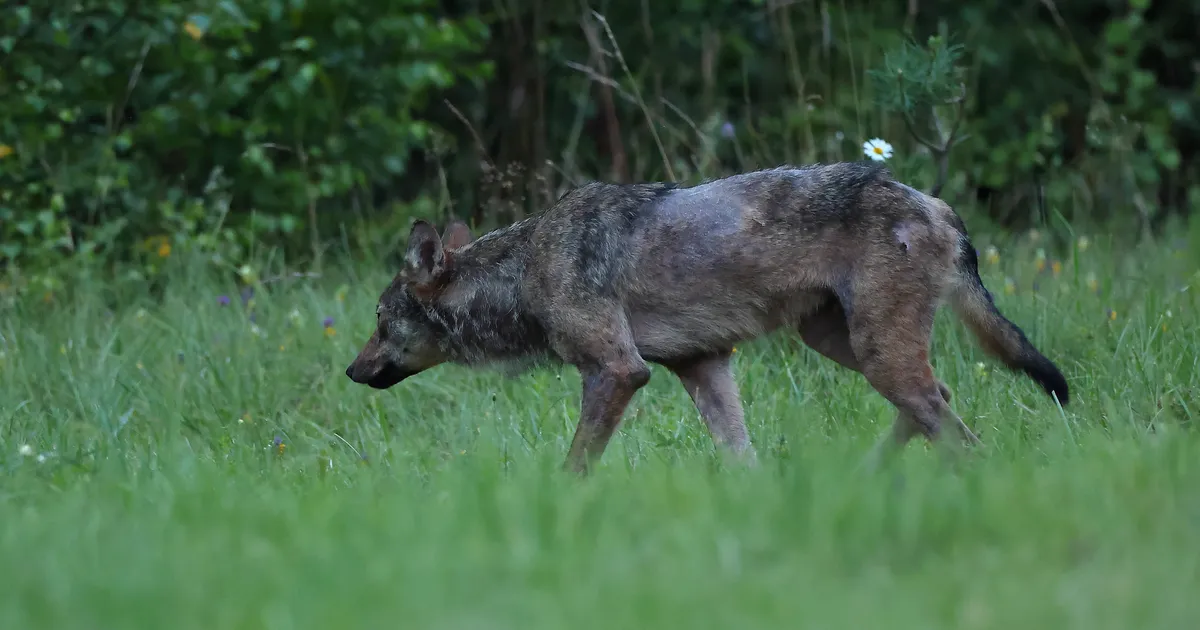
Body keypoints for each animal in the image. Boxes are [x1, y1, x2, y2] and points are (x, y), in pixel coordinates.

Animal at [345, 162, 1070, 474]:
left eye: (380, 319)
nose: (351, 371)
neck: (523, 272)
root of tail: (936, 204)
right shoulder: (703, 367)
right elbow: (740, 456)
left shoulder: (618, 371)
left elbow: (575, 465)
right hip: (842, 344)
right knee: (936, 403)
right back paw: (866, 476)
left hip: (876, 354)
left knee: (956, 433)